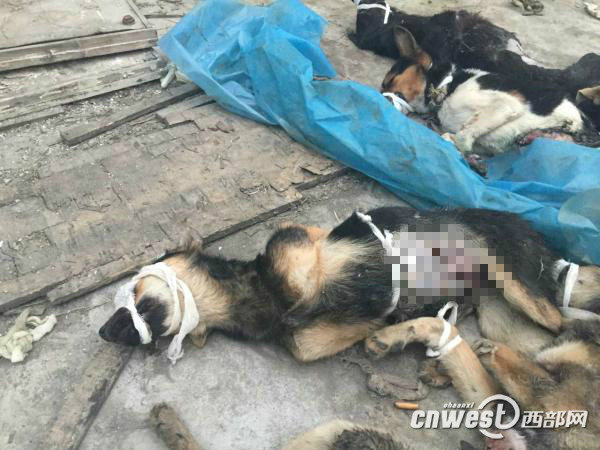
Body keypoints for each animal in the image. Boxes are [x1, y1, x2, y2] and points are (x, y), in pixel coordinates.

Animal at [98, 207, 600, 362]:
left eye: (135, 293)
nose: (102, 332)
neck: (253, 296)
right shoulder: (302, 339)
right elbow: (307, 336)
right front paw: (389, 322)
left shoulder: (301, 238)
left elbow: (284, 256)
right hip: (504, 315)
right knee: (551, 331)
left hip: (518, 283)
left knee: (567, 315)